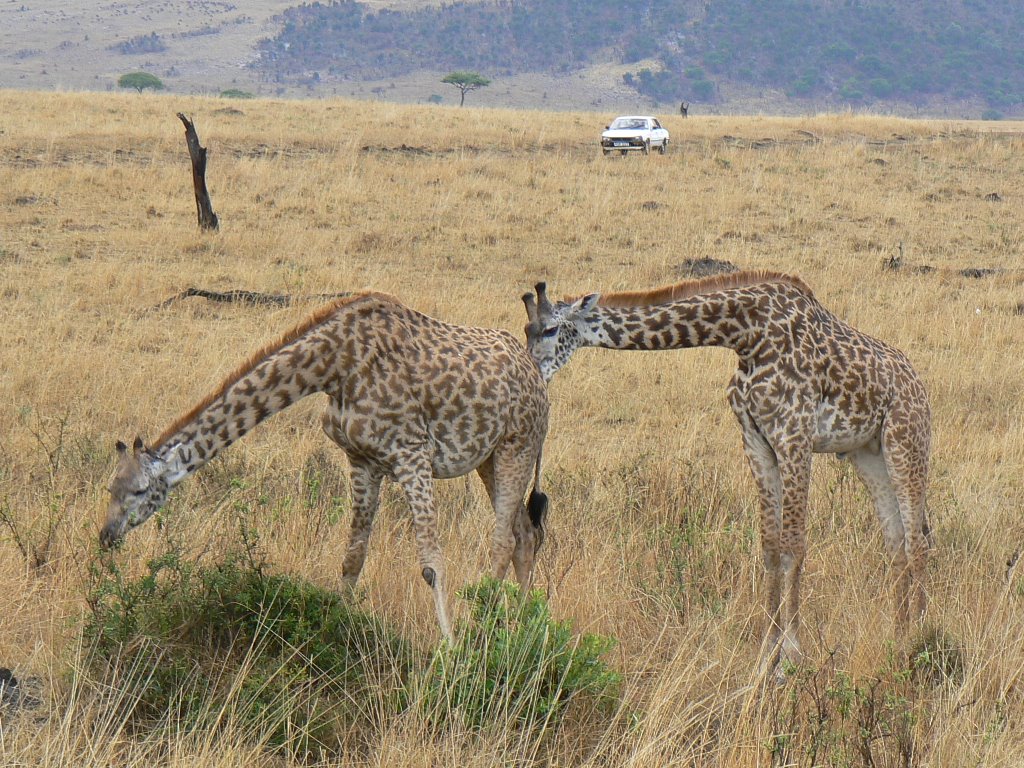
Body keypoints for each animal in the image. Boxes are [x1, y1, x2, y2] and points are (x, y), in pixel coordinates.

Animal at [101, 290, 552, 638]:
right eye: (110, 489)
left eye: (141, 490)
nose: (106, 536)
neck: (334, 367)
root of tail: (536, 374)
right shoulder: (362, 460)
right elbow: (352, 559)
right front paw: (336, 628)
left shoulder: (411, 454)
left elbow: (432, 564)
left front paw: (451, 651)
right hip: (487, 459)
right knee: (526, 535)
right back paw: (523, 626)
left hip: (518, 445)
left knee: (503, 540)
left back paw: (486, 629)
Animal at [524, 274, 933, 671]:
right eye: (527, 330)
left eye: (550, 330)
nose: (534, 373)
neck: (746, 335)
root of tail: (918, 384)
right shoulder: (756, 443)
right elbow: (770, 546)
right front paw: (768, 652)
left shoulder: (794, 437)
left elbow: (794, 545)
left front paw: (794, 653)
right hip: (869, 455)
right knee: (896, 541)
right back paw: (897, 634)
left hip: (906, 443)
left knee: (918, 541)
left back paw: (919, 641)